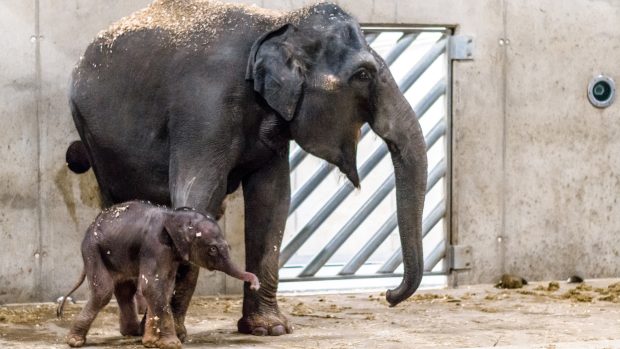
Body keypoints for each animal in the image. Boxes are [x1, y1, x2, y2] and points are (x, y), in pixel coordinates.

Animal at [58, 200, 260, 346]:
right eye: (212, 249)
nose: (254, 285)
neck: (175, 216)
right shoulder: (155, 246)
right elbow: (152, 286)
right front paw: (171, 344)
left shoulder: (170, 253)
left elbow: (165, 287)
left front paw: (150, 342)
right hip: (92, 250)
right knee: (103, 291)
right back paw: (75, 341)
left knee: (124, 290)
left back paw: (131, 332)